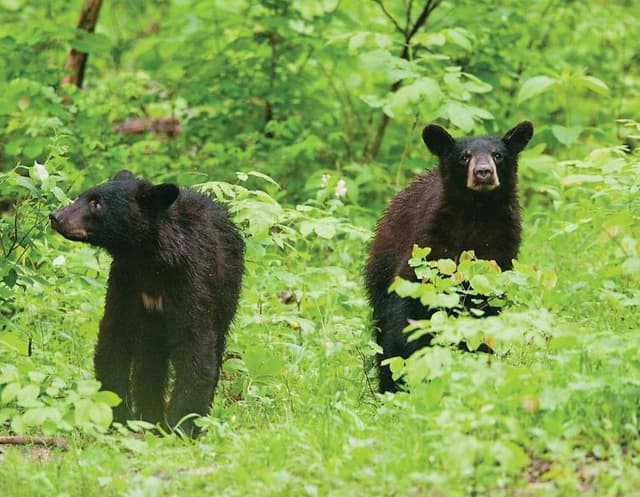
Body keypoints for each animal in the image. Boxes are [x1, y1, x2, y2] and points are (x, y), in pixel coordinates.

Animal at [49, 170, 244, 436]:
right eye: (82, 196)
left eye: (97, 203)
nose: (56, 216)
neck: (148, 261)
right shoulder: (125, 283)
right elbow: (114, 340)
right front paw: (119, 416)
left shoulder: (190, 283)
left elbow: (195, 347)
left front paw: (181, 426)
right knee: (150, 361)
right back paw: (149, 416)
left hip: (226, 295)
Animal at [365, 121, 534, 393]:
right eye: (464, 157)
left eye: (498, 155)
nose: (484, 172)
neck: (477, 213)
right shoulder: (429, 246)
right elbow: (407, 305)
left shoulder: (499, 252)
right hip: (382, 265)